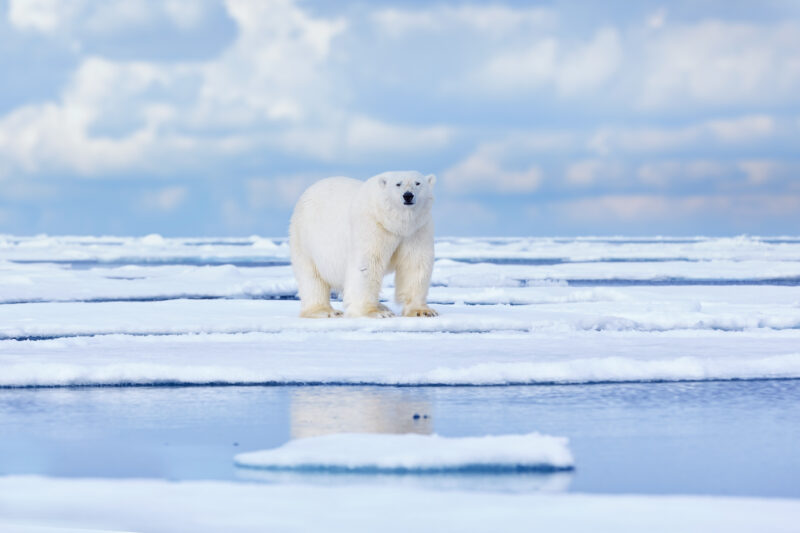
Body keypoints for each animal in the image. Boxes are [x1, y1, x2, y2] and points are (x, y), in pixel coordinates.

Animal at [289, 170, 438, 319]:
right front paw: (373, 312)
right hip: (305, 237)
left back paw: (383, 306)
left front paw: (422, 311)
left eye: (418, 183)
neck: (394, 223)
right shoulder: (372, 225)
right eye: (398, 184)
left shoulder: (417, 230)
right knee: (312, 276)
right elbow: (367, 265)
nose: (408, 195)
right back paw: (326, 311)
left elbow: (415, 264)